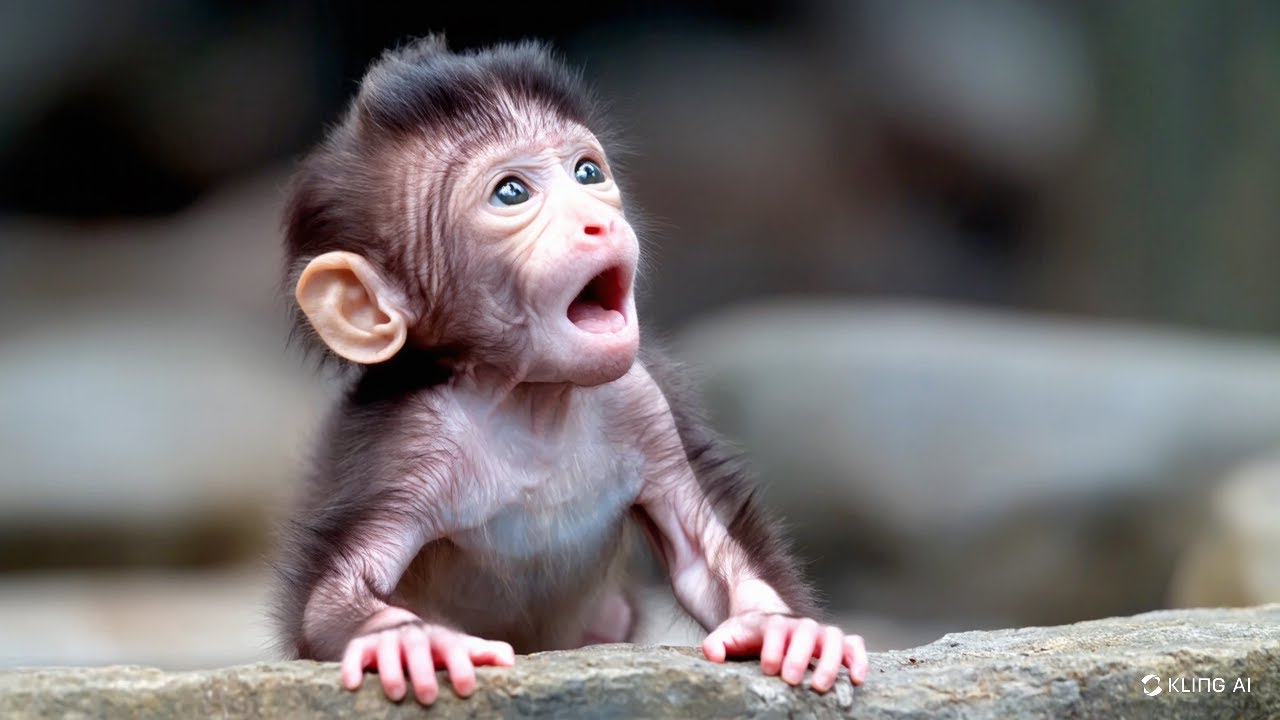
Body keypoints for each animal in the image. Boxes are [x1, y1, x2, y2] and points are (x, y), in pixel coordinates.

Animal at [271, 36, 869, 706]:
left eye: (588, 173)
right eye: (511, 193)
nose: (598, 219)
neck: (532, 398)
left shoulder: (644, 398)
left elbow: (703, 547)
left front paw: (780, 627)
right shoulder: (406, 441)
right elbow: (336, 595)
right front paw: (404, 640)